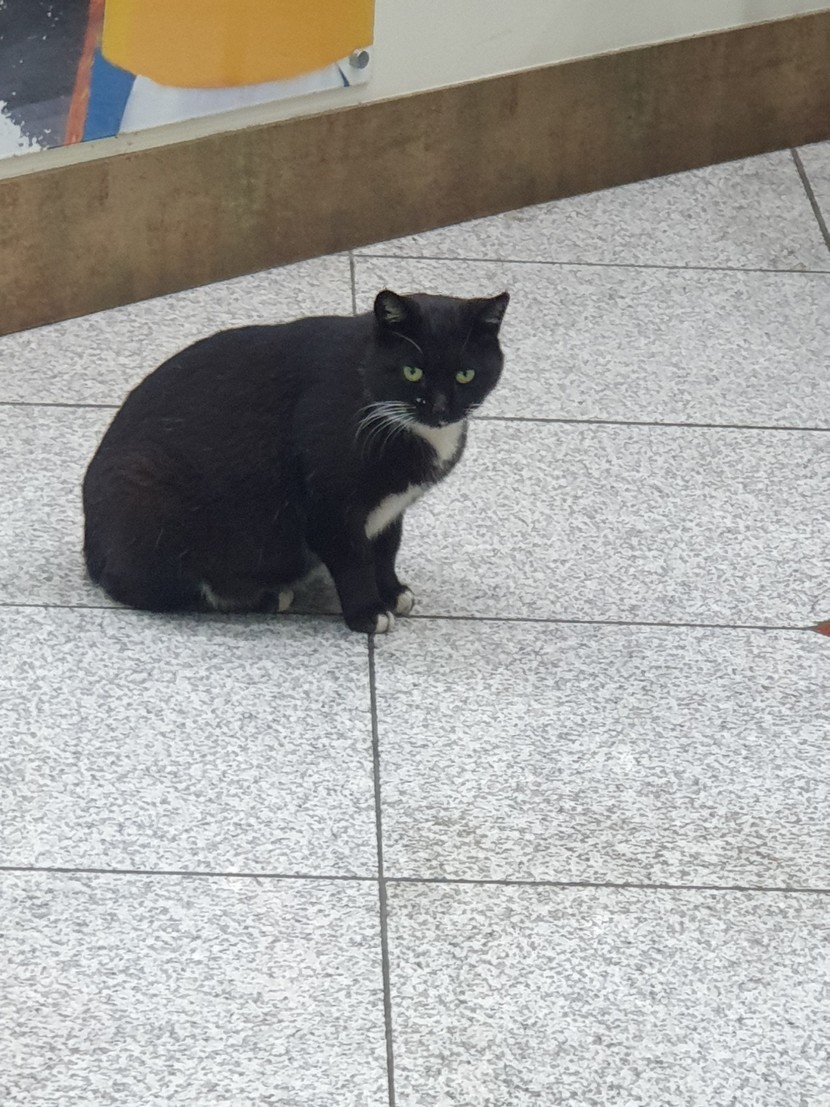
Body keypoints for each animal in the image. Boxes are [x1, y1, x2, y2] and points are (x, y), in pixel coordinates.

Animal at [82, 288, 509, 634]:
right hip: (147, 495)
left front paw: (392, 590)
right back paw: (264, 596)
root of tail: (91, 548)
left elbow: (386, 549)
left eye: (466, 374)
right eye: (412, 371)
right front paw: (367, 613)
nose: (440, 409)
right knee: (148, 589)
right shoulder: (330, 507)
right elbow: (354, 560)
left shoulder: (391, 508)